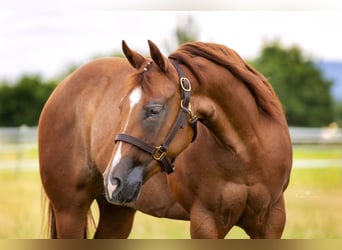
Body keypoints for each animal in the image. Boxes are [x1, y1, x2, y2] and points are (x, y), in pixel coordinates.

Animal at [39, 40, 292, 239]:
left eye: (155, 109)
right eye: (121, 108)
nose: (113, 181)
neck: (246, 153)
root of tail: (61, 88)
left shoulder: (271, 222)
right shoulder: (205, 223)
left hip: (117, 212)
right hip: (70, 210)